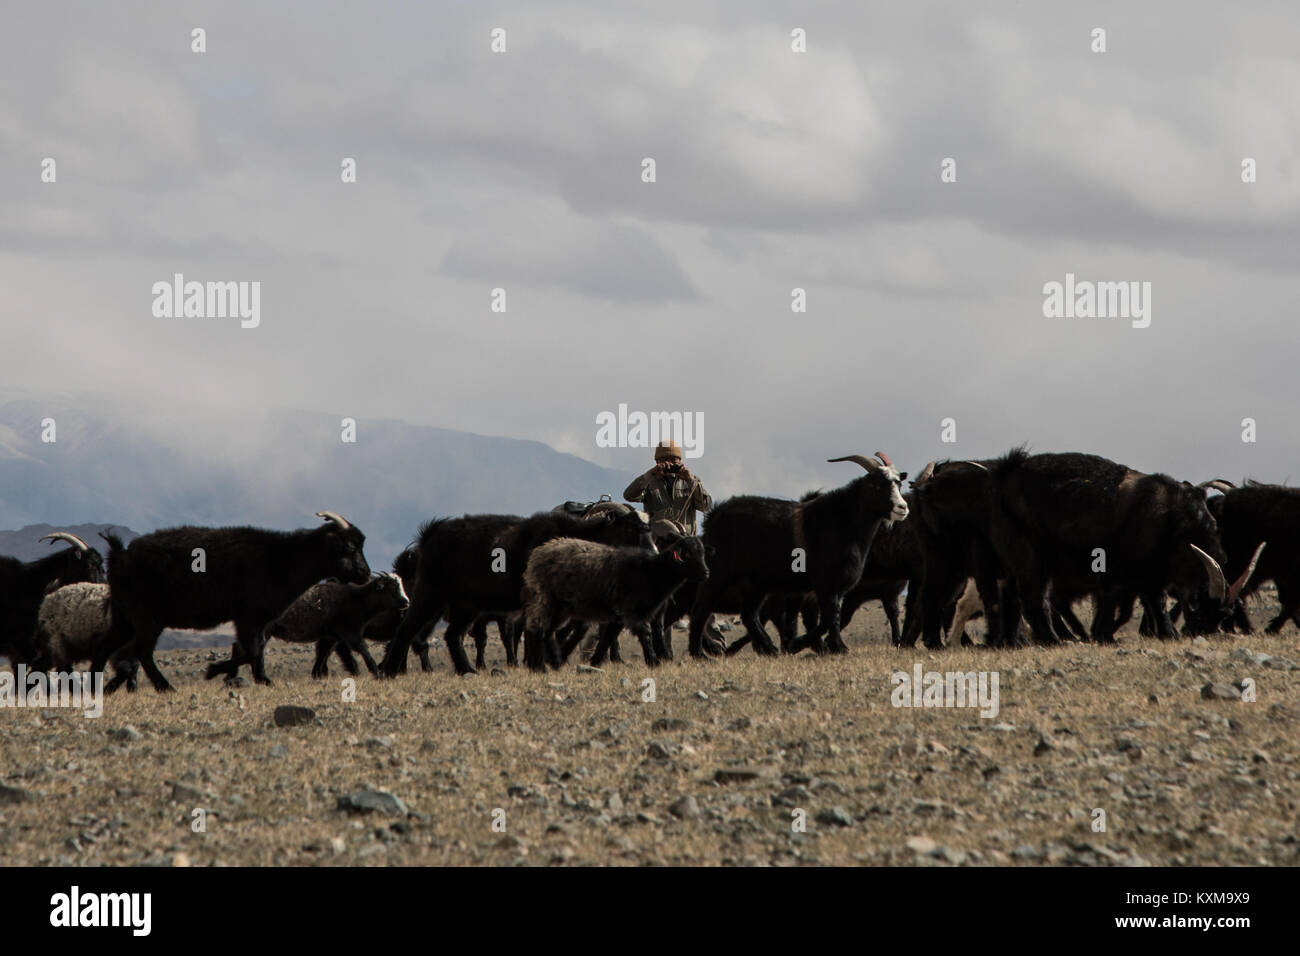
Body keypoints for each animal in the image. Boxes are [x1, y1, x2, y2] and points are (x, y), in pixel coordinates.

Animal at [93, 512, 369, 691]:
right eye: (350, 546)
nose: (365, 574)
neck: (283, 557)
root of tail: (120, 555)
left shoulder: (257, 621)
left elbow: (256, 650)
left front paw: (263, 680)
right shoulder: (248, 617)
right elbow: (252, 651)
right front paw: (214, 670)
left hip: (125, 617)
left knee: (106, 646)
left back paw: (94, 687)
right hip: (146, 618)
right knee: (142, 651)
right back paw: (166, 687)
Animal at [686, 450, 909, 658]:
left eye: (898, 484)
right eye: (877, 486)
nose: (903, 507)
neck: (842, 520)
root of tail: (714, 515)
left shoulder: (829, 589)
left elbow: (829, 618)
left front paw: (806, 645)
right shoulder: (826, 585)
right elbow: (831, 616)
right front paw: (836, 647)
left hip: (756, 584)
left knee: (749, 614)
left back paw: (770, 648)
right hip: (717, 575)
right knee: (701, 610)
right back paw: (700, 654)